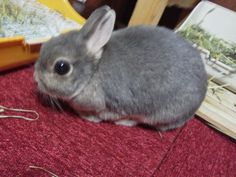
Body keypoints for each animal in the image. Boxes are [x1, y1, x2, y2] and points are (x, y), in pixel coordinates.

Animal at [34, 5, 207, 131]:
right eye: (45, 45)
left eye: (61, 67)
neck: (92, 73)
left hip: (157, 113)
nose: (36, 78)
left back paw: (124, 122)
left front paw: (91, 118)